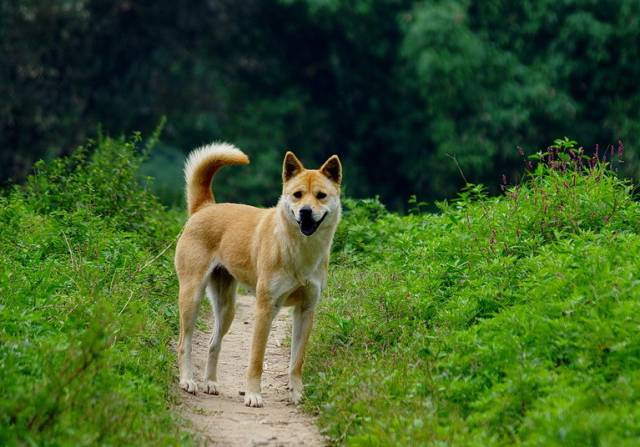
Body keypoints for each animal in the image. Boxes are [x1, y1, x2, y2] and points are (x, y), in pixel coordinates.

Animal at [175, 144, 342, 410]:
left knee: (213, 343)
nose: (305, 212)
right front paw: (253, 394)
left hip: (227, 308)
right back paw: (187, 380)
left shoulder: (306, 310)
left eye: (321, 195)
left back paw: (210, 383)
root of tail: (206, 207)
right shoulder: (265, 308)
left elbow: (297, 361)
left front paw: (297, 394)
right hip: (192, 296)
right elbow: (256, 359)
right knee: (184, 343)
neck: (299, 250)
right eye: (297, 195)